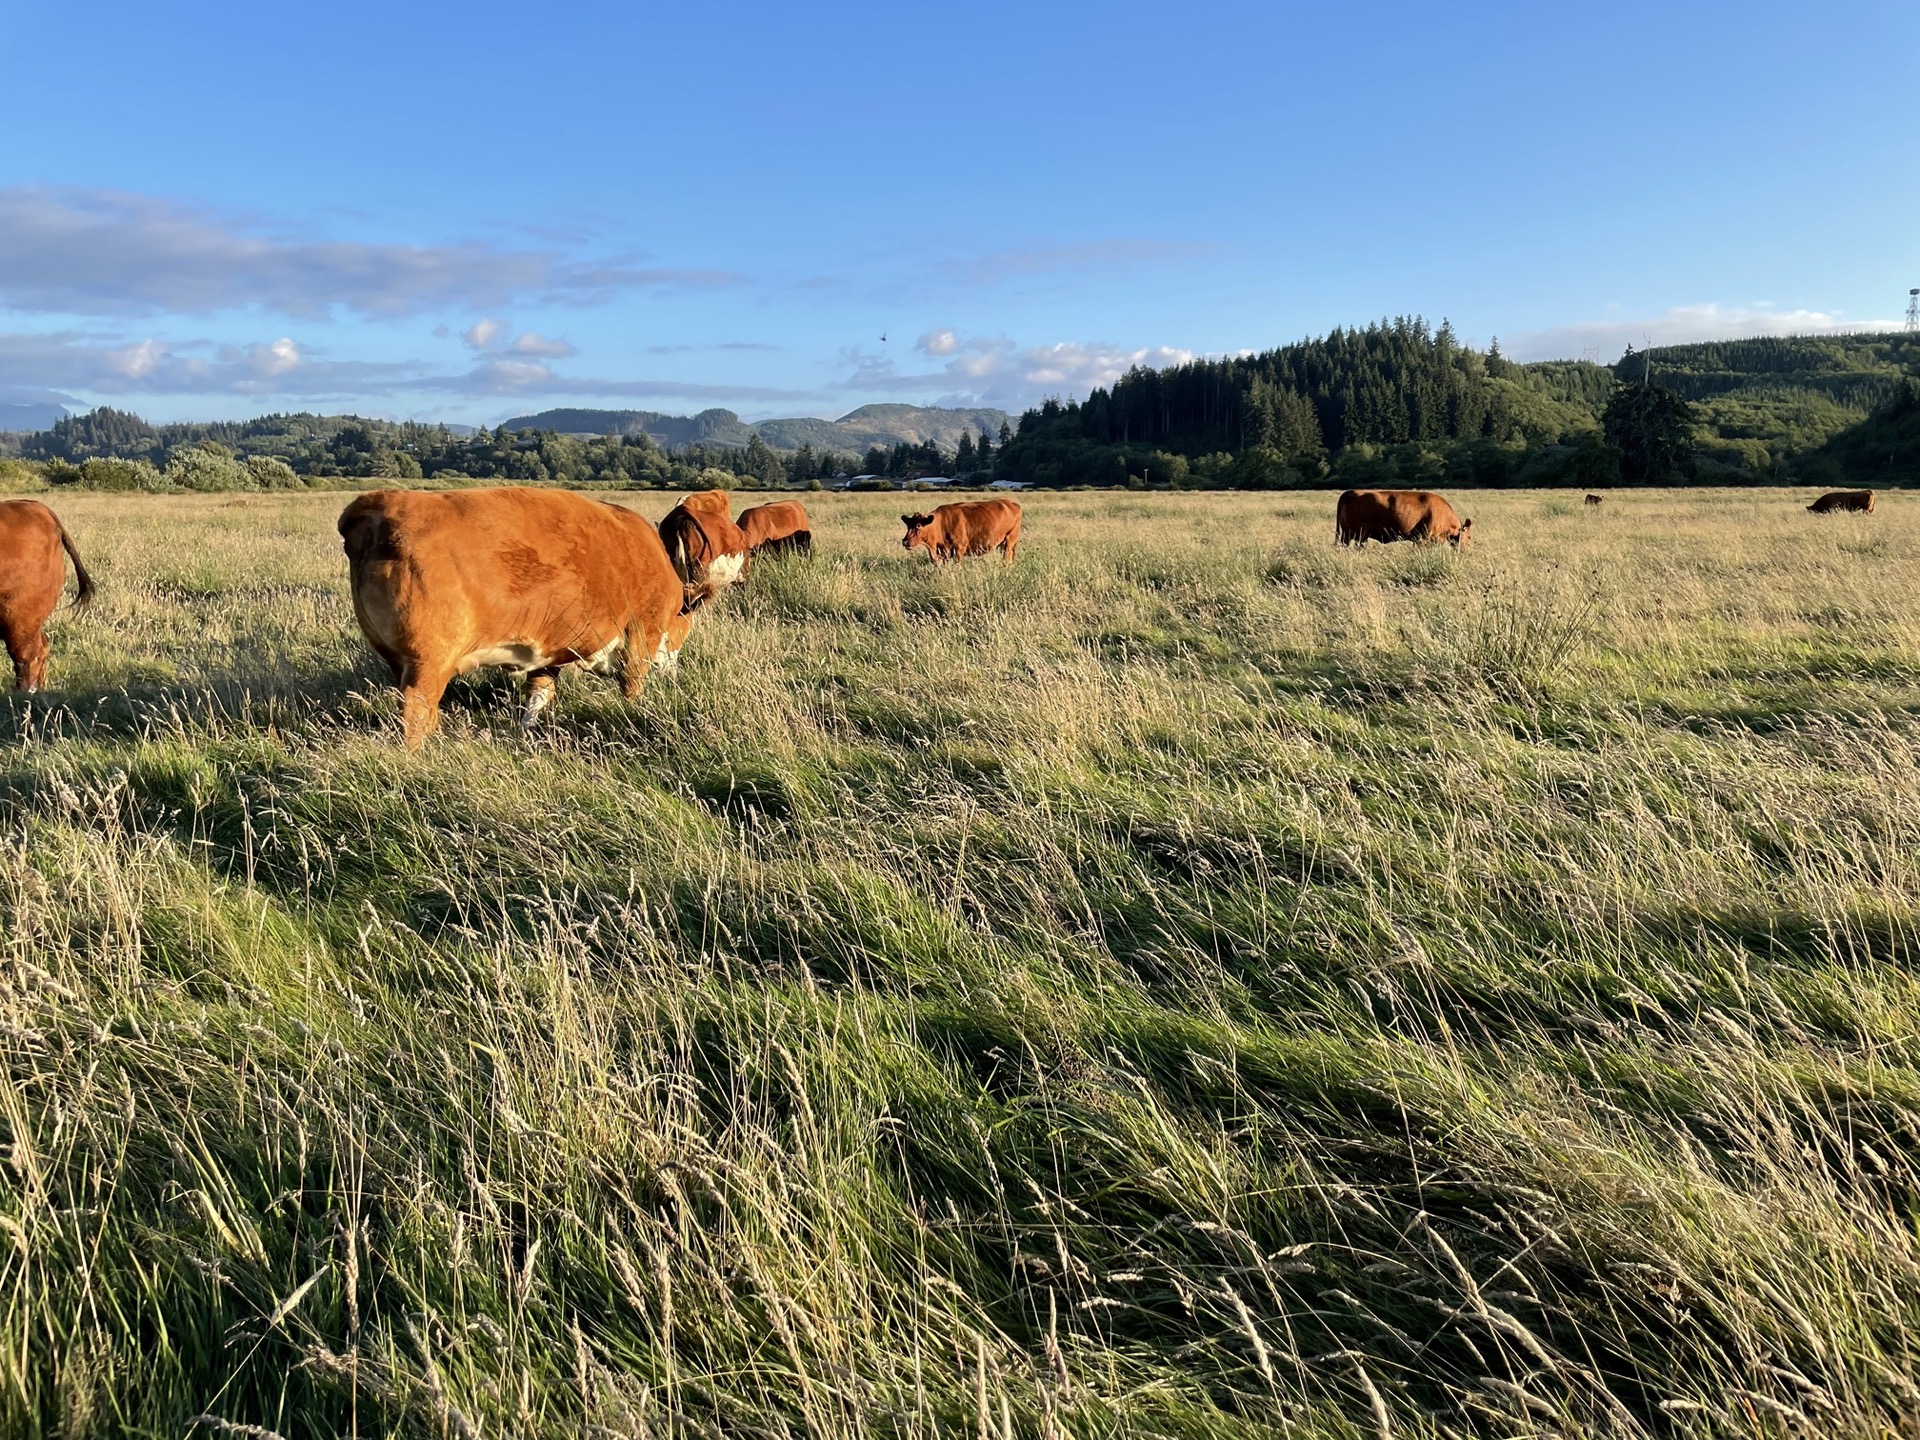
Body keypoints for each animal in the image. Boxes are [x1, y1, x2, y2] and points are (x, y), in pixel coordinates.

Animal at [338, 486, 711, 749]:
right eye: (683, 622)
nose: (674, 671)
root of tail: (383, 505)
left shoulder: (550, 652)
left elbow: (538, 696)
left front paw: (526, 732)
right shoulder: (641, 637)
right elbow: (632, 687)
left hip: (399, 660)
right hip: (428, 665)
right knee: (417, 714)